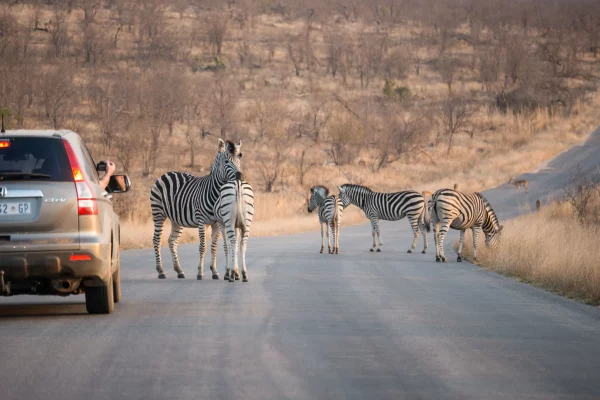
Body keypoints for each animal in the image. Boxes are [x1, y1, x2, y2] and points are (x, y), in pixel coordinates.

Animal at [150, 139, 241, 280]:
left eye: (239, 160)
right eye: (227, 161)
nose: (240, 175)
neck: (215, 193)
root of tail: (166, 174)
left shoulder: (216, 224)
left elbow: (214, 247)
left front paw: (214, 272)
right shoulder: (201, 221)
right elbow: (202, 246)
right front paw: (200, 272)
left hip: (176, 219)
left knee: (172, 241)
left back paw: (179, 271)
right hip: (158, 213)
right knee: (156, 240)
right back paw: (161, 271)